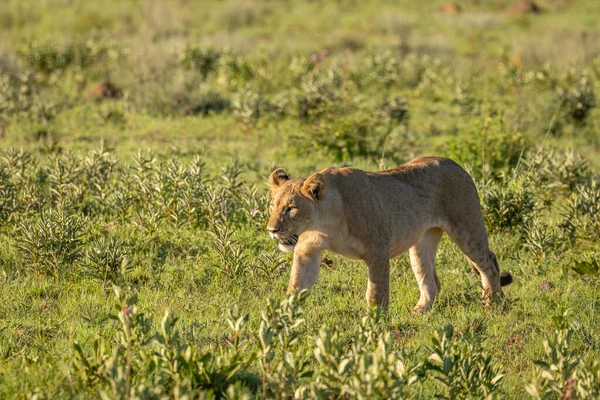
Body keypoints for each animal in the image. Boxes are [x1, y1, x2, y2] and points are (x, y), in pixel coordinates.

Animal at [270, 155, 512, 312]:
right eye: (273, 205)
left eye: (291, 208)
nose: (271, 230)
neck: (323, 223)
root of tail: (456, 164)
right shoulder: (307, 248)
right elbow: (297, 283)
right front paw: (282, 318)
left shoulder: (377, 251)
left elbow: (376, 293)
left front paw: (373, 326)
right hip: (421, 243)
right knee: (432, 281)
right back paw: (420, 311)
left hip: (467, 230)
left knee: (488, 263)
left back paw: (493, 303)